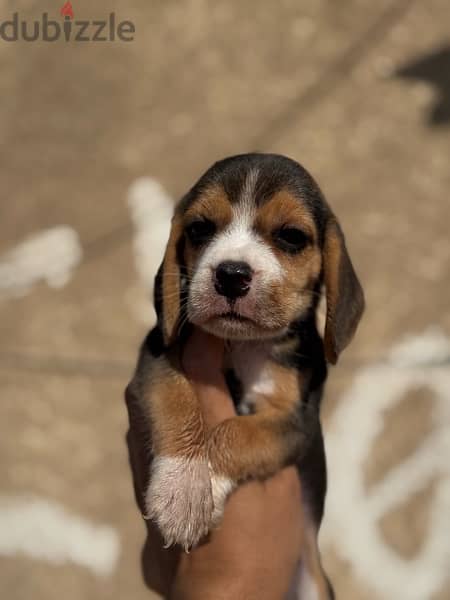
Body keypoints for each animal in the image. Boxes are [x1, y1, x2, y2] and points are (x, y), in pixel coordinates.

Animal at [125, 154, 362, 596]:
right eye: (199, 228)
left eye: (291, 236)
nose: (231, 274)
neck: (244, 344)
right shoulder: (155, 358)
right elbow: (176, 399)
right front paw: (182, 488)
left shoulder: (297, 423)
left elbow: (234, 433)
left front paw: (197, 486)